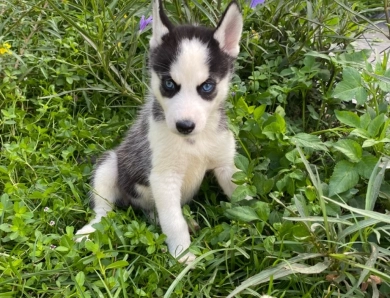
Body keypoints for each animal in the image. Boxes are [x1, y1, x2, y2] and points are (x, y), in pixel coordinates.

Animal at [76, 0, 244, 264]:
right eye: (169, 84)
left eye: (207, 86)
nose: (184, 126)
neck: (192, 143)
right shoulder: (164, 178)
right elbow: (174, 222)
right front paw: (183, 257)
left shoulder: (225, 165)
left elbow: (242, 197)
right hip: (110, 165)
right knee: (104, 211)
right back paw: (91, 229)